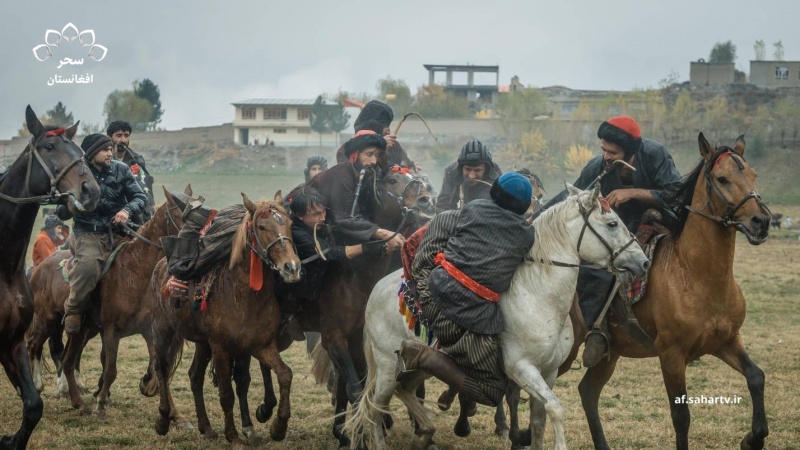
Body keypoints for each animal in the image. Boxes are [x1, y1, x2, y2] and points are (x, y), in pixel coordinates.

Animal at [0, 106, 101, 450]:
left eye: (79, 150)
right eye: (48, 147)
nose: (91, 190)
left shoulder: (11, 341)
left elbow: (33, 405)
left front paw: (12, 439)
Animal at [26, 185, 192, 416]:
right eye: (178, 215)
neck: (135, 271)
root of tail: (40, 269)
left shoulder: (148, 331)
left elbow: (159, 369)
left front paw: (170, 408)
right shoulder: (112, 330)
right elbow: (110, 368)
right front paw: (101, 403)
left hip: (81, 329)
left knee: (68, 360)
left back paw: (77, 401)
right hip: (47, 319)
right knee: (34, 345)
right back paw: (39, 385)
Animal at [149, 193, 300, 446]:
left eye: (289, 224)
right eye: (262, 227)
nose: (292, 267)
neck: (244, 297)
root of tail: (160, 265)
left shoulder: (260, 345)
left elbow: (284, 374)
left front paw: (277, 426)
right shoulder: (220, 348)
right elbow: (227, 393)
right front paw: (234, 436)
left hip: (202, 343)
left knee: (195, 376)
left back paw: (207, 428)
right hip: (163, 330)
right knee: (161, 367)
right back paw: (162, 421)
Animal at [344, 184, 648, 450]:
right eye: (612, 223)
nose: (643, 262)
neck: (538, 297)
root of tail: (377, 290)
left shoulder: (548, 372)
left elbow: (539, 421)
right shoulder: (522, 369)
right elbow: (555, 408)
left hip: (416, 368)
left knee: (404, 388)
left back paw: (426, 432)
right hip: (385, 366)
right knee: (375, 409)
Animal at [580, 134, 772, 450]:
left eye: (754, 175)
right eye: (722, 178)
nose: (762, 221)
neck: (695, 276)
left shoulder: (726, 341)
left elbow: (756, 376)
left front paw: (753, 438)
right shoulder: (671, 354)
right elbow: (681, 416)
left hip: (610, 354)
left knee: (587, 392)